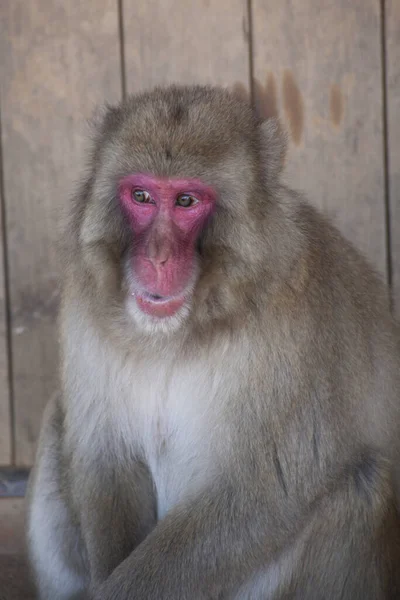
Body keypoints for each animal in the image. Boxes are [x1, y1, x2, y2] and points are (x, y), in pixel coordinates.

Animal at [25, 85, 400, 600]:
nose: (158, 256)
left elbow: (263, 489)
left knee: (362, 485)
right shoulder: (83, 302)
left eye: (186, 200)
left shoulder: (293, 328)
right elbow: (105, 457)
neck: (179, 332)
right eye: (141, 196)